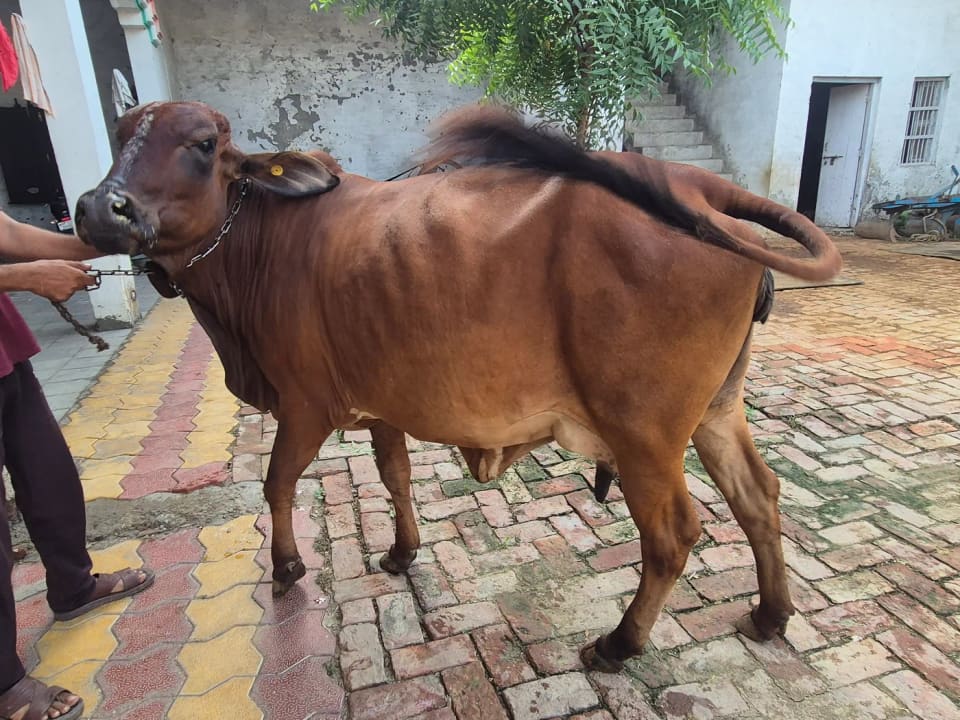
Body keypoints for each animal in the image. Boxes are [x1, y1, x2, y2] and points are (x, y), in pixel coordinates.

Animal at [75, 101, 841, 673]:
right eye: (117, 136)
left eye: (203, 144)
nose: (97, 209)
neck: (264, 244)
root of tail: (702, 190)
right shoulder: (381, 402)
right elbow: (395, 476)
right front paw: (401, 551)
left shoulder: (304, 404)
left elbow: (277, 484)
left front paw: (288, 566)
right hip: (716, 412)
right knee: (758, 496)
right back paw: (770, 613)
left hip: (645, 433)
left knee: (673, 535)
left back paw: (621, 642)